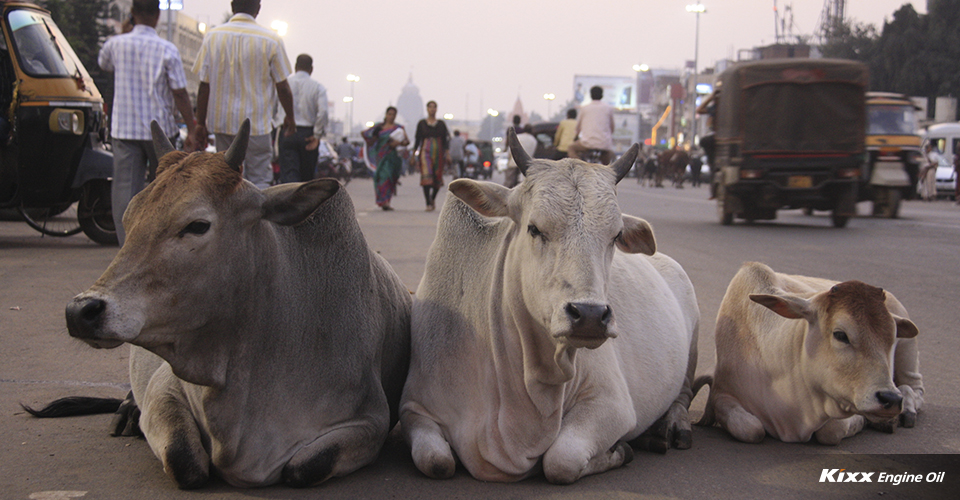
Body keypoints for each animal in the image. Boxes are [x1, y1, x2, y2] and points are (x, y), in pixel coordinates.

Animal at [398, 129, 696, 484]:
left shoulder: (612, 403)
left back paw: (672, 426)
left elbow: (560, 461)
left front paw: (620, 451)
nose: (590, 316)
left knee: (683, 394)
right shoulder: (414, 408)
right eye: (534, 228)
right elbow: (436, 461)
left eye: (615, 235)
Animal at [692, 264, 928, 444]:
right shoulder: (723, 395)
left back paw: (905, 410)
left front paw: (864, 421)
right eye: (840, 334)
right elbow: (751, 429)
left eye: (892, 337)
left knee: (914, 388)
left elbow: (831, 432)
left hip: (908, 352)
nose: (889, 399)